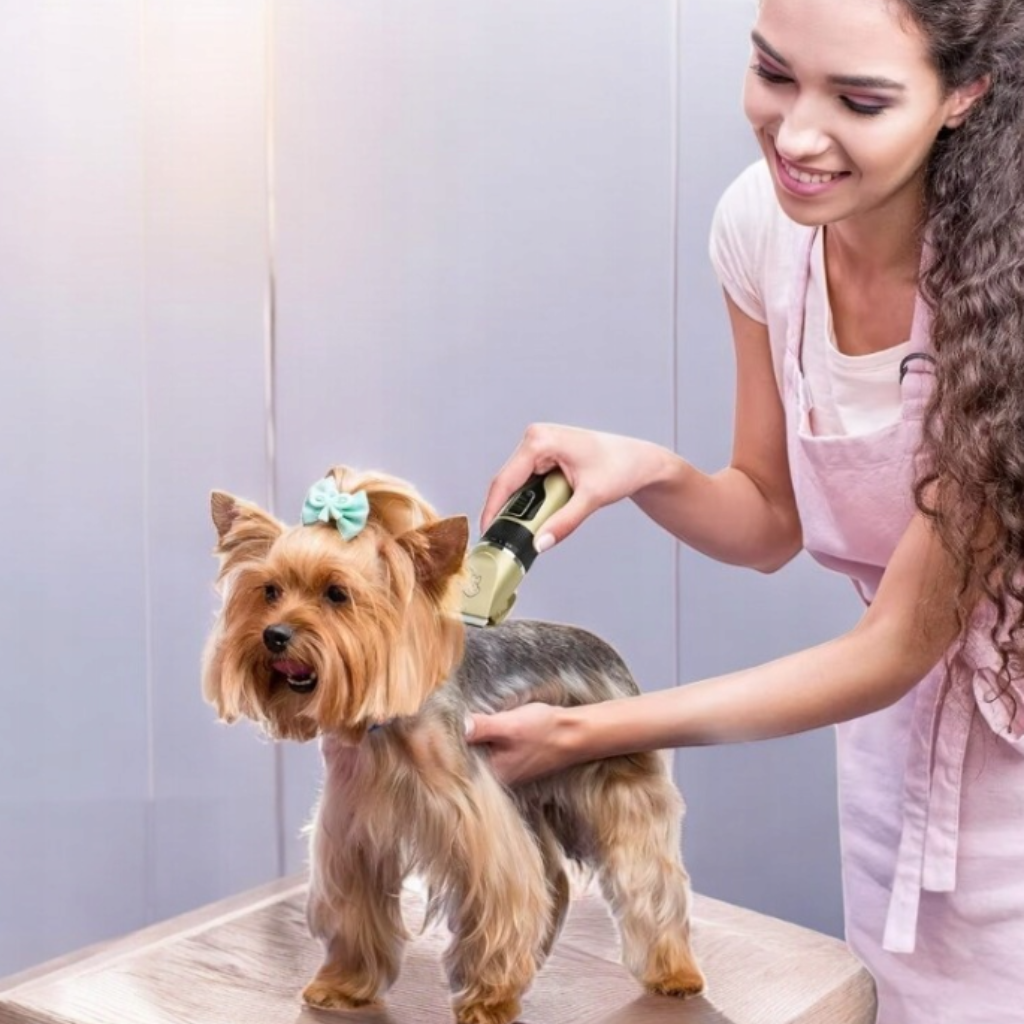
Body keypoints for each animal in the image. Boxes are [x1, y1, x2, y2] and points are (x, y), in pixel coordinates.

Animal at [202, 466, 704, 1024]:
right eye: (270, 590)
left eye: (336, 594)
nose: (274, 635)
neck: (385, 727)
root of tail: (606, 650)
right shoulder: (353, 831)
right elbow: (356, 916)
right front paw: (343, 986)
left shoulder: (476, 823)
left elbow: (505, 894)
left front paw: (488, 999)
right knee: (553, 880)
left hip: (617, 784)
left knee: (648, 879)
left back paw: (673, 972)